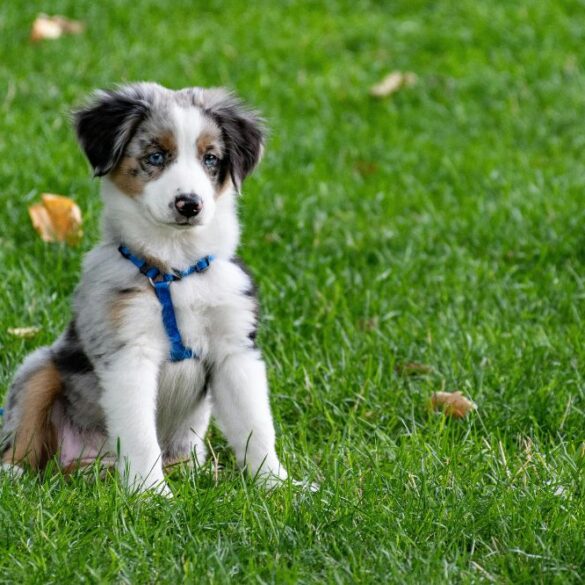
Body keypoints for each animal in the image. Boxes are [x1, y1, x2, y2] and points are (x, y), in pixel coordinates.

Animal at [0, 82, 292, 492]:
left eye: (211, 159)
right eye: (156, 156)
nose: (189, 204)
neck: (176, 267)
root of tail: (86, 465)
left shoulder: (235, 350)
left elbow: (256, 426)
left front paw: (279, 486)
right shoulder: (128, 353)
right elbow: (139, 434)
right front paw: (151, 495)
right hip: (40, 367)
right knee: (25, 430)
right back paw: (15, 474)